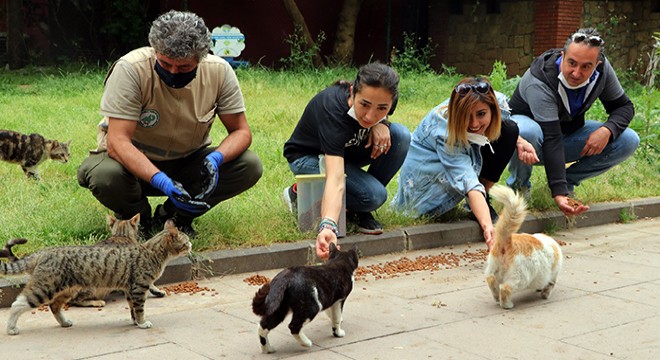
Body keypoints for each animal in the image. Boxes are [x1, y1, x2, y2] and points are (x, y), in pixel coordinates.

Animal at [1, 219, 191, 334]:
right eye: (185, 242)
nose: (191, 245)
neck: (152, 252)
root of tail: (43, 252)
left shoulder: (129, 290)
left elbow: (132, 309)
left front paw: (136, 322)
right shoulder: (138, 288)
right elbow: (139, 309)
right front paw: (142, 323)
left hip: (67, 289)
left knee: (54, 306)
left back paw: (64, 322)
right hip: (45, 287)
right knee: (18, 304)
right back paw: (11, 328)